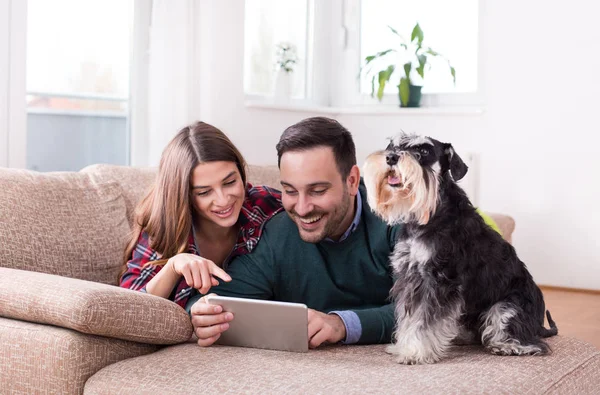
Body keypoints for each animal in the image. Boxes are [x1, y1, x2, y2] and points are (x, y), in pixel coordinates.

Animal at [364, 135, 560, 366]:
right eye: (393, 145)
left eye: (424, 151)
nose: (391, 158)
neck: (430, 214)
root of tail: (539, 325)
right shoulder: (410, 278)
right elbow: (408, 318)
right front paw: (402, 346)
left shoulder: (439, 280)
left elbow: (424, 321)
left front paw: (415, 352)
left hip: (507, 308)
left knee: (528, 341)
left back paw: (507, 346)